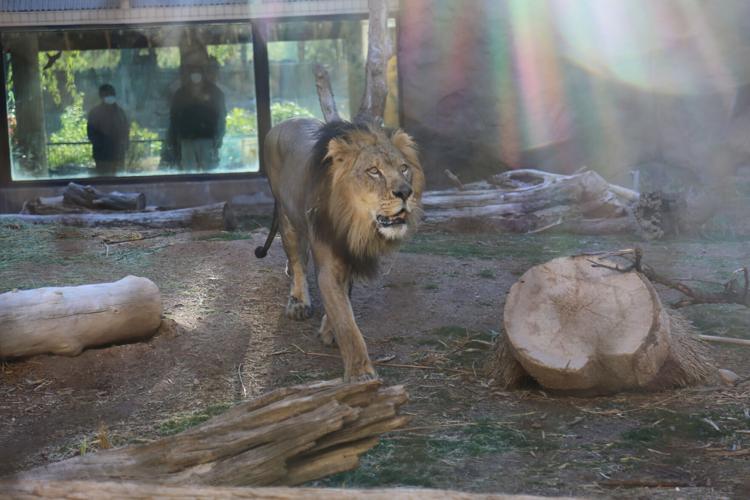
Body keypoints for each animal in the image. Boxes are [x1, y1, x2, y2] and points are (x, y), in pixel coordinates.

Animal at [255, 118, 424, 381]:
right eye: (373, 171)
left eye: (404, 168)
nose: (406, 192)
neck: (354, 222)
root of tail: (283, 122)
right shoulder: (328, 263)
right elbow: (345, 321)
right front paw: (360, 374)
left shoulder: (351, 254)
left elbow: (345, 298)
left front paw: (329, 329)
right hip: (286, 216)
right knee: (297, 260)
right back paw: (298, 302)